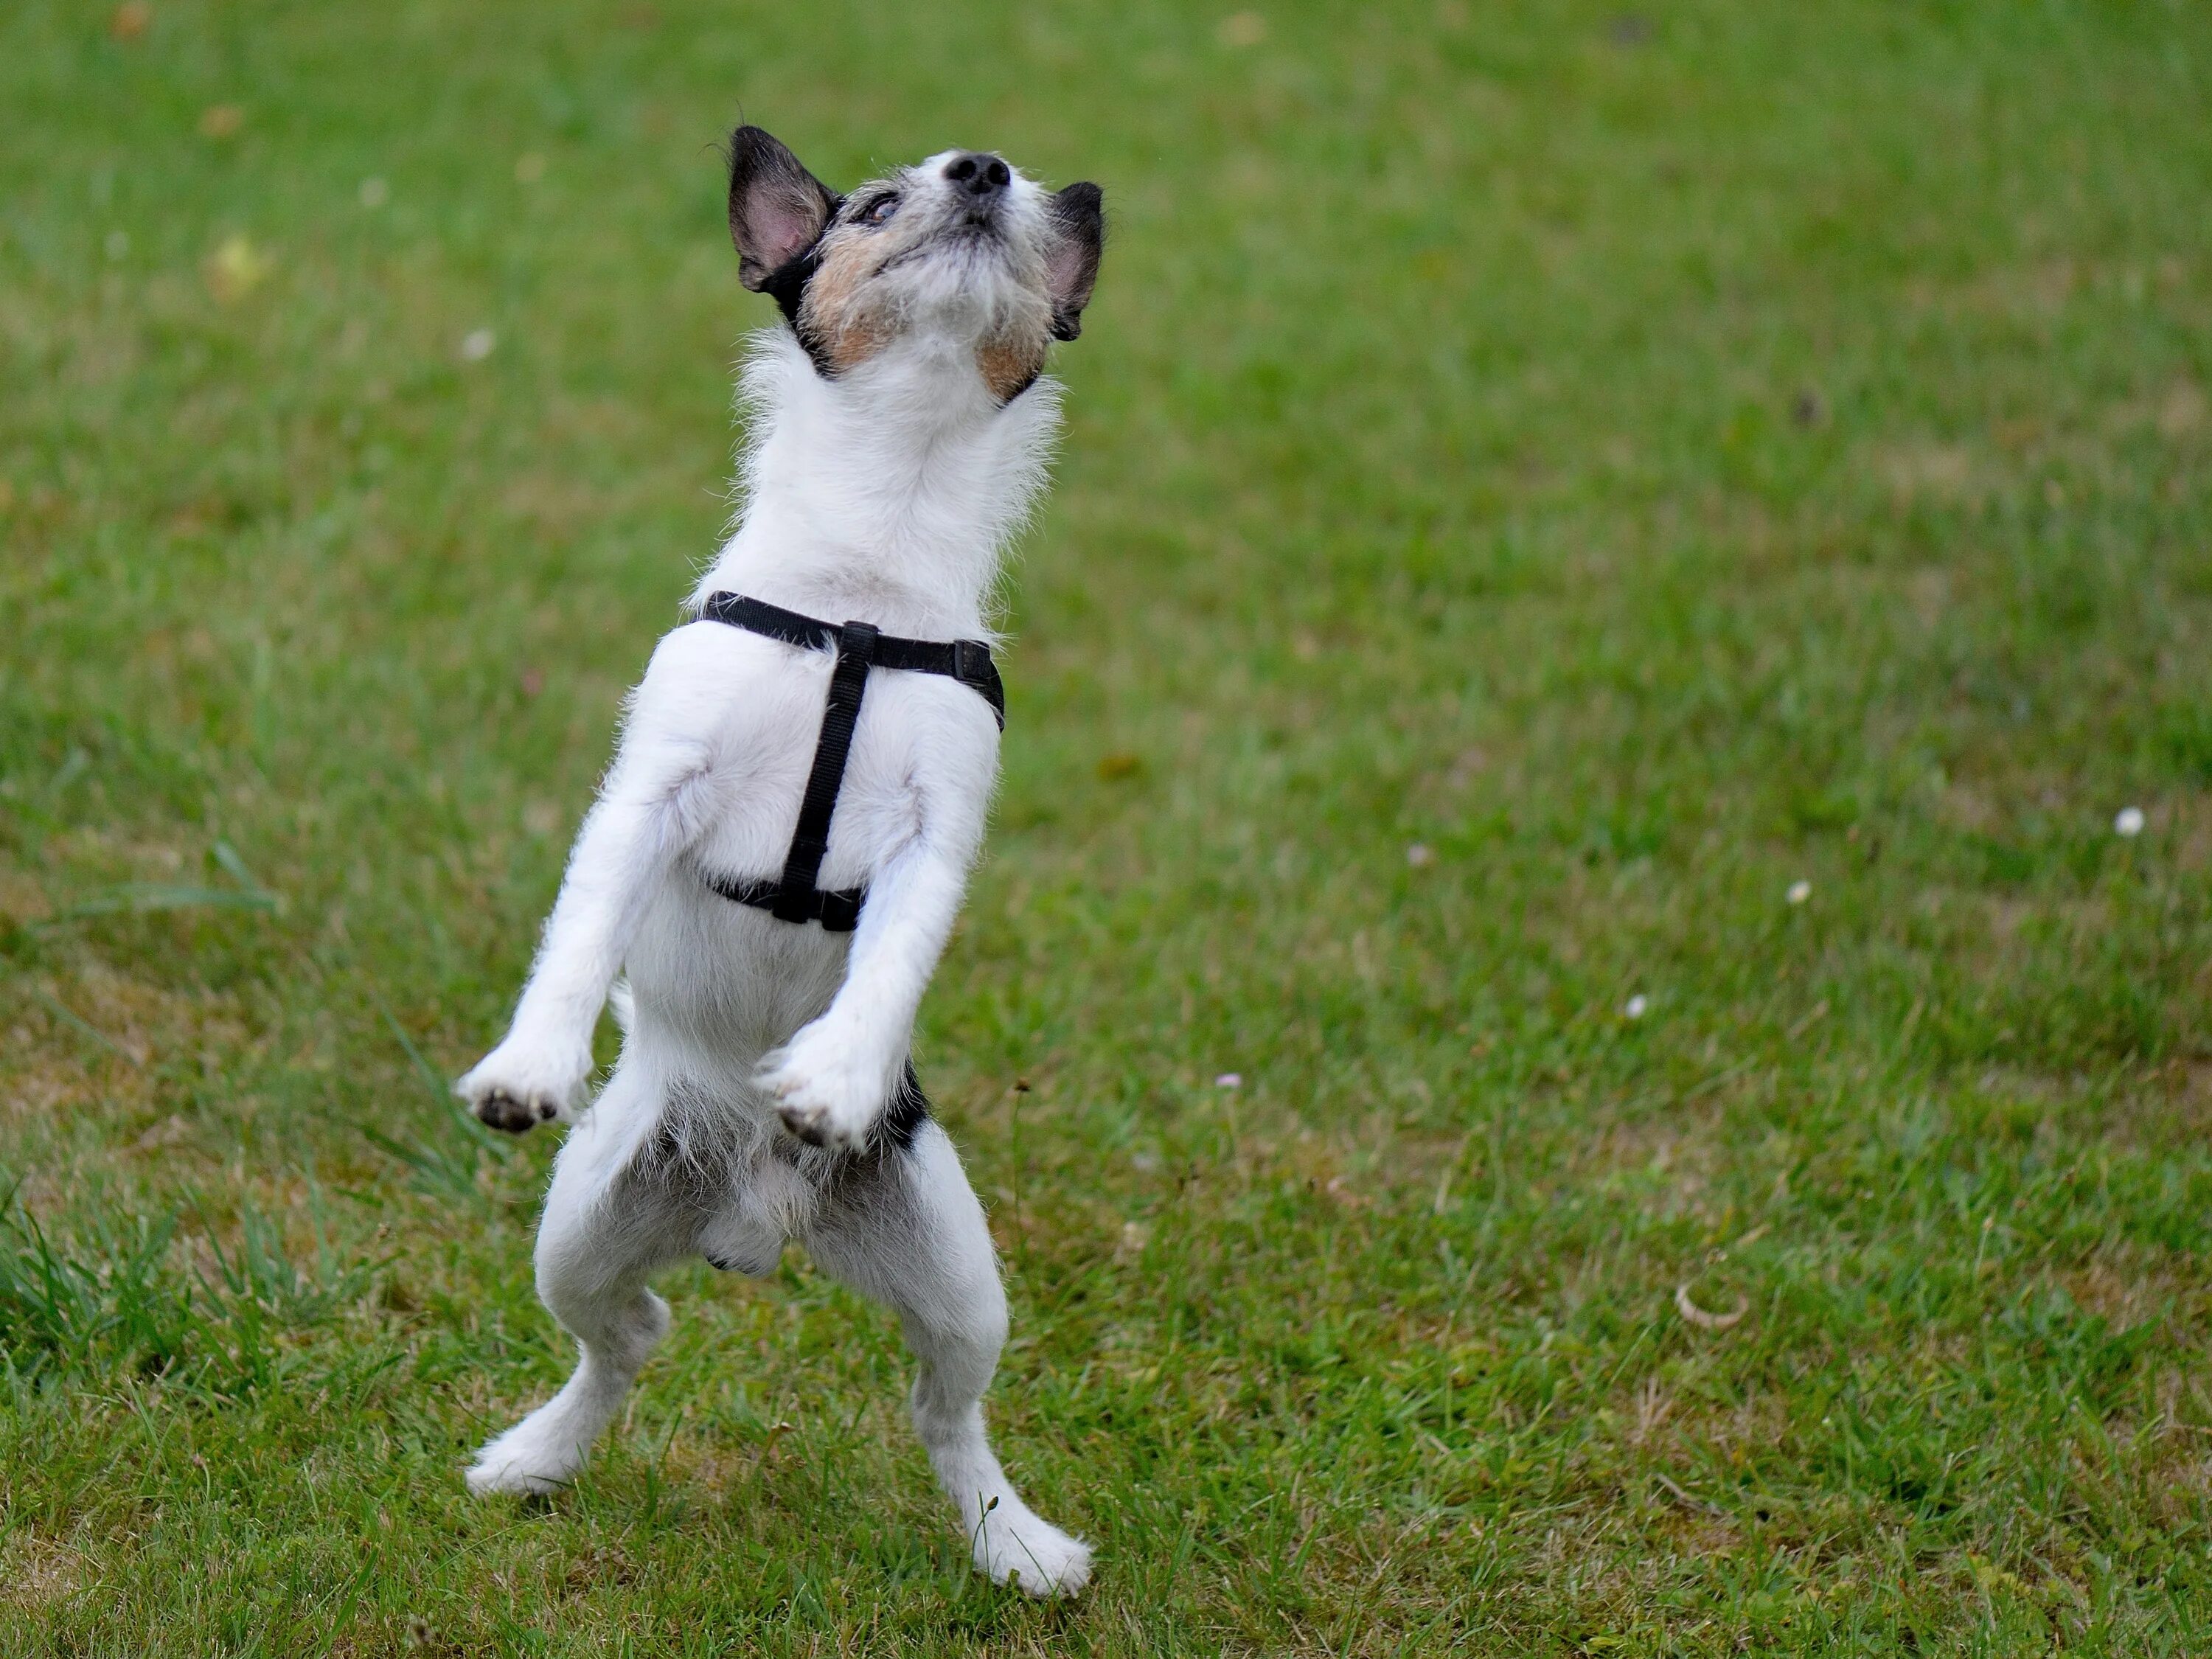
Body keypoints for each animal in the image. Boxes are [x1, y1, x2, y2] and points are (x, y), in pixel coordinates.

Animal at [451, 123, 1106, 1601]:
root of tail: (755, 1222)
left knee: (944, 1411)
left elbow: (894, 958)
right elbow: (582, 929)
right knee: (627, 1335)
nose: (986, 170)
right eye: (870, 207)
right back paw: (537, 1456)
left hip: (960, 1281)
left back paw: (1015, 1542)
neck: (863, 589)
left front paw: (838, 1073)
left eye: (1035, 212)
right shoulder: (648, 791)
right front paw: (530, 1060)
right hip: (583, 1225)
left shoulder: (939, 835)